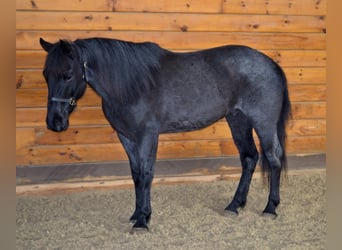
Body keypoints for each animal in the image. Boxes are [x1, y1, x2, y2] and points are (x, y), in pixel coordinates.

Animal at [39, 36, 292, 230]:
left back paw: (270, 208)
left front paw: (142, 221)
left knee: (273, 158)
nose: (55, 122)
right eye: (45, 74)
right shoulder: (127, 138)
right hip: (237, 120)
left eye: (68, 74)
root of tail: (271, 64)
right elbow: (136, 175)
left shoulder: (147, 136)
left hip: (263, 123)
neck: (132, 85)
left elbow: (146, 174)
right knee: (249, 158)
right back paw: (234, 206)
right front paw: (138, 214)